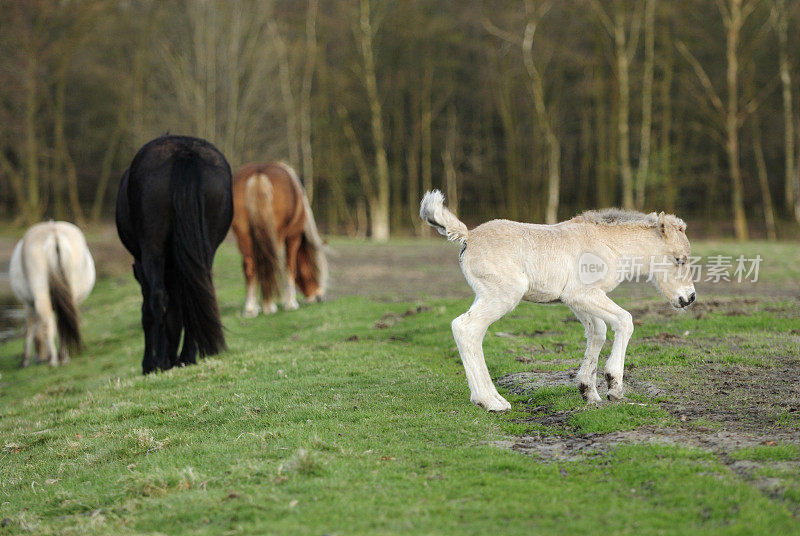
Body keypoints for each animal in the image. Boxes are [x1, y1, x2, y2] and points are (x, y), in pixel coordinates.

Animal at [9, 220, 95, 366]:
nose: (40, 358)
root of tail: (54, 232)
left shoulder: (28, 304)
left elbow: (29, 329)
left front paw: (25, 360)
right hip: (70, 294)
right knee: (62, 323)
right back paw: (63, 357)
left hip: (40, 294)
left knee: (47, 322)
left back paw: (54, 359)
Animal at [115, 136, 234, 374]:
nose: (171, 358)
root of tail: (184, 151)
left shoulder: (142, 266)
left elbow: (147, 311)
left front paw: (149, 364)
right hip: (207, 248)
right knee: (197, 292)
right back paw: (187, 356)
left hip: (152, 249)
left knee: (158, 298)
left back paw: (161, 361)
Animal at [231, 161, 328, 316]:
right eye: (315, 268)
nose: (319, 296)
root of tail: (259, 174)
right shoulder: (293, 236)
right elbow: (290, 266)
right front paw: (290, 303)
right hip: (276, 236)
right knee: (270, 265)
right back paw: (269, 306)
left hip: (244, 236)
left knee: (251, 266)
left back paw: (251, 308)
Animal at [422, 191, 696, 412]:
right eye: (679, 259)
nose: (689, 298)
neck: (607, 243)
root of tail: (468, 236)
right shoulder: (583, 295)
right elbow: (624, 321)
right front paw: (614, 387)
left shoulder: (577, 299)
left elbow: (598, 332)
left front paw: (589, 392)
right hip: (502, 296)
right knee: (465, 328)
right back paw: (489, 402)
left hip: (488, 296)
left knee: (472, 333)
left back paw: (493, 399)